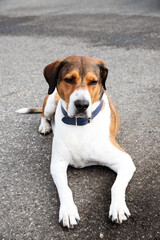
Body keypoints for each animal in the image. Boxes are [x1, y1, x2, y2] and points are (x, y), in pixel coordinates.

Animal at [17, 55, 135, 229]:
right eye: (69, 79)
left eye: (94, 82)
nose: (82, 105)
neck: (79, 124)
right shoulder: (57, 164)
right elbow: (65, 189)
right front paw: (68, 211)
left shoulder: (125, 161)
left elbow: (116, 185)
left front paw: (118, 207)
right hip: (51, 101)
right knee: (43, 115)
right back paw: (45, 126)